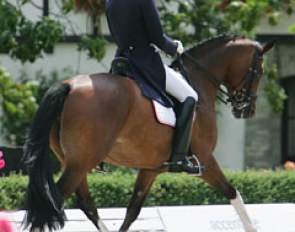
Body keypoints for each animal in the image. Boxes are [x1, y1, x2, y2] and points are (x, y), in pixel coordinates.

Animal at [22, 35, 276, 232]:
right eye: (260, 71)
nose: (247, 110)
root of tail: (69, 86)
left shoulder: (150, 168)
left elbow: (132, 211)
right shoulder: (204, 159)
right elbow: (233, 194)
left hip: (75, 162)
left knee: (85, 204)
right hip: (80, 162)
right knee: (52, 205)